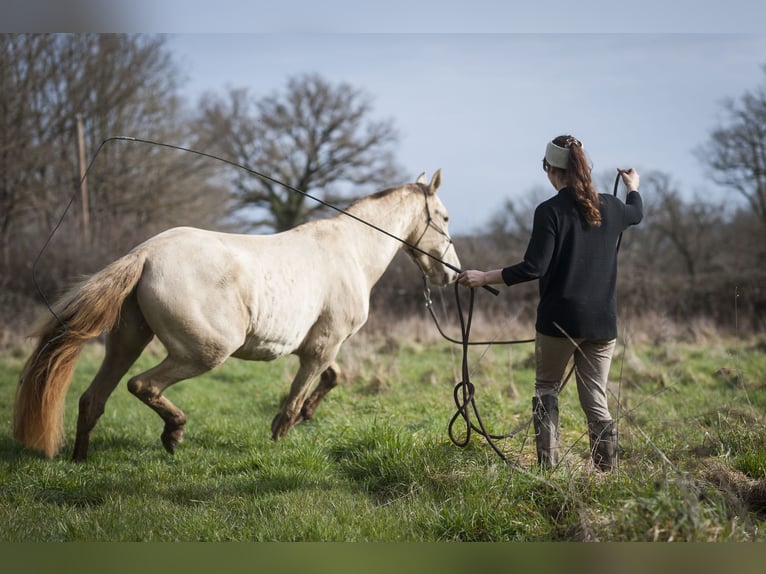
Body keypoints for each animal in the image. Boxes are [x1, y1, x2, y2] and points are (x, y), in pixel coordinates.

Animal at [13, 170, 462, 464]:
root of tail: (146, 253)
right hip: (205, 352)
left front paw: (310, 414)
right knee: (142, 385)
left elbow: (333, 378)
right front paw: (283, 436)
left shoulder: (318, 348)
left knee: (93, 399)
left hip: (127, 343)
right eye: (444, 217)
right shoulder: (322, 347)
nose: (451, 273)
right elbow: (290, 406)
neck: (350, 250)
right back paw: (174, 433)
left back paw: (80, 459)